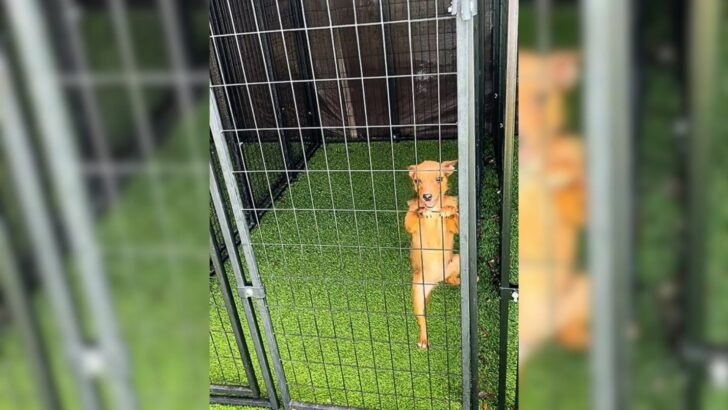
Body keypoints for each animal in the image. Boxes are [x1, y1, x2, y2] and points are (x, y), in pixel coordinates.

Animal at [404, 160, 460, 350]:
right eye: (417, 181)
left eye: (439, 179)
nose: (426, 197)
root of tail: (436, 281)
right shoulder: (410, 226)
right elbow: (412, 214)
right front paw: (420, 210)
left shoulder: (455, 228)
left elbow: (454, 216)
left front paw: (448, 209)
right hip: (417, 295)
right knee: (422, 321)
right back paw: (423, 340)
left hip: (458, 260)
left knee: (450, 279)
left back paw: (459, 281)